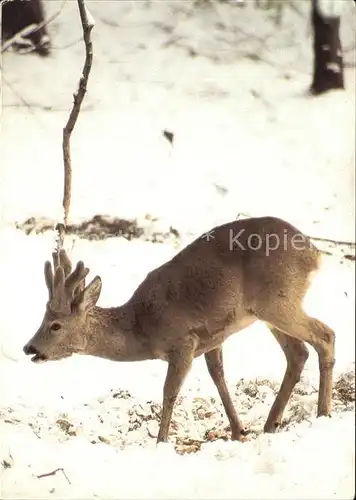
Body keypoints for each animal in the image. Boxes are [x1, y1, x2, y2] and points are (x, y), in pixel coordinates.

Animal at [23, 215, 336, 442]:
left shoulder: (183, 342)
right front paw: (238, 431)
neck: (142, 329)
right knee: (298, 353)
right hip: (267, 311)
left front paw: (161, 441)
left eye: (55, 325)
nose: (29, 347)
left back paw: (323, 413)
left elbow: (169, 391)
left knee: (325, 334)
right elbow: (218, 376)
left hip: (278, 301)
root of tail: (315, 254)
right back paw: (272, 423)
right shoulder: (213, 337)